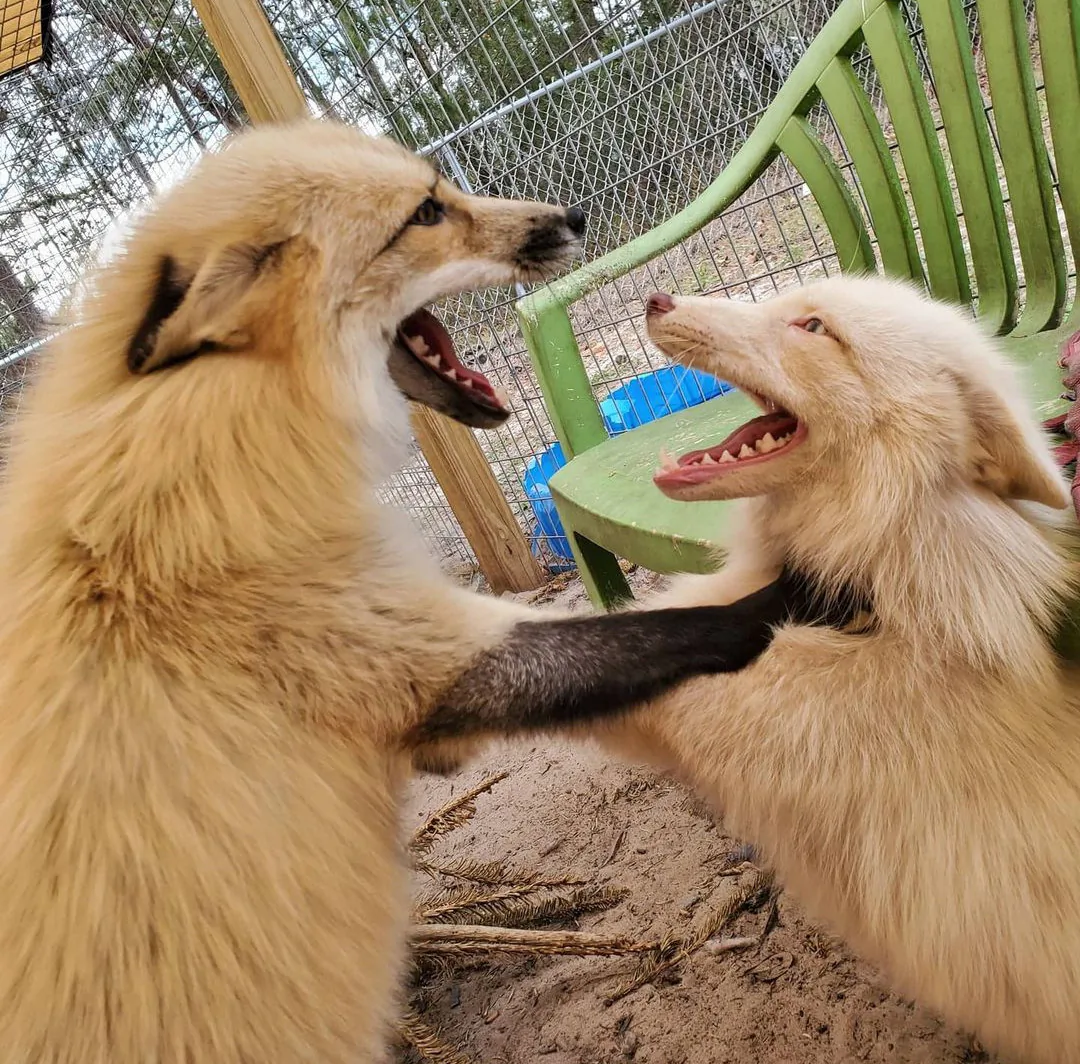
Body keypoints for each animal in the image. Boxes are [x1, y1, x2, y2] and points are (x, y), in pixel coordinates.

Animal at [0, 118, 842, 1063]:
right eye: (427, 213)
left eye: (438, 189)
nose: (574, 214)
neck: (216, 429)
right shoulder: (407, 659)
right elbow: (677, 627)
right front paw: (801, 594)